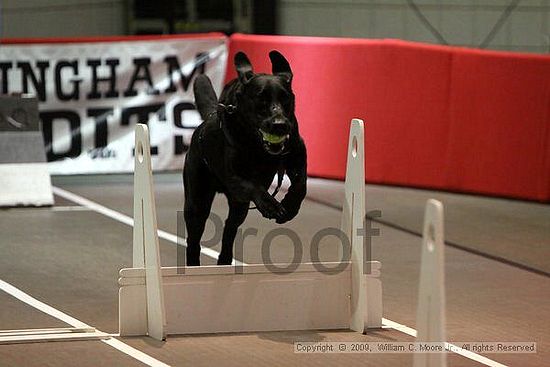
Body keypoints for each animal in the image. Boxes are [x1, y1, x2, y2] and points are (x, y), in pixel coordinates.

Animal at [184, 50, 306, 266]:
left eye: (286, 99)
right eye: (261, 99)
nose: (280, 125)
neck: (257, 145)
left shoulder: (298, 154)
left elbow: (300, 185)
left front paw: (290, 206)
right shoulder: (234, 178)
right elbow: (252, 185)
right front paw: (271, 205)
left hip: (238, 207)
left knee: (230, 227)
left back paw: (224, 260)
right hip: (197, 199)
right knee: (194, 238)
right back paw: (192, 264)